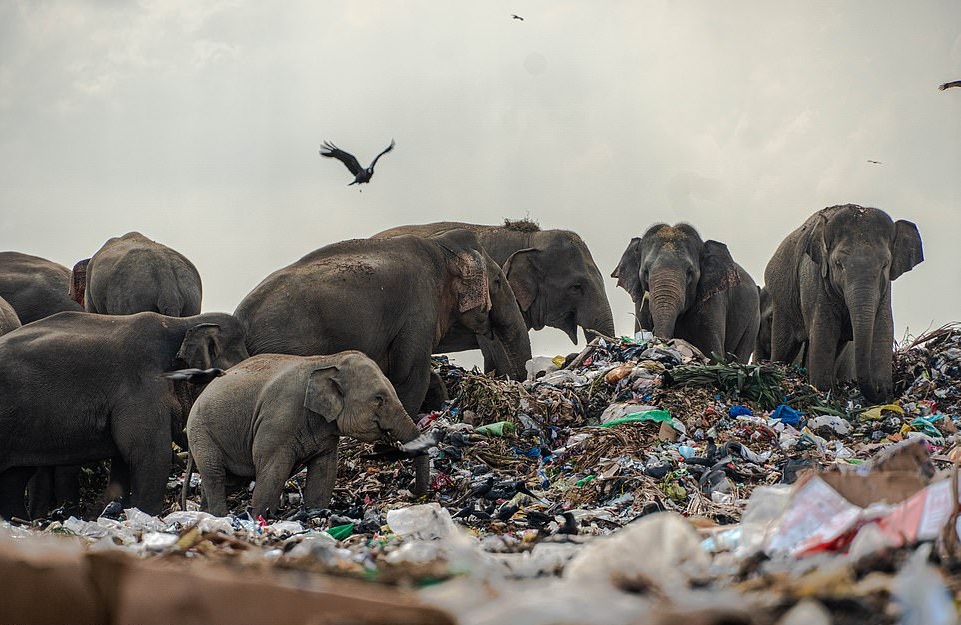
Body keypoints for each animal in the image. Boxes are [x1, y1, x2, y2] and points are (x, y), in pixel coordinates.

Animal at [0, 311, 249, 519]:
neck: (181, 323)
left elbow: (124, 463)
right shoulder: (142, 389)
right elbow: (151, 457)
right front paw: (145, 516)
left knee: (14, 479)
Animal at [186, 352, 425, 518]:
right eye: (379, 399)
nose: (412, 491)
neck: (327, 360)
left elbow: (324, 471)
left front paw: (315, 512)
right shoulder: (278, 421)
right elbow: (273, 472)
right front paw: (261, 517)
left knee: (225, 480)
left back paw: (206, 515)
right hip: (201, 433)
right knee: (215, 474)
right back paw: (219, 517)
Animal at [612, 223, 760, 363]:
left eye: (690, 272)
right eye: (646, 272)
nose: (663, 343)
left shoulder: (713, 302)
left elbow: (712, 354)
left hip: (753, 322)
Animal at [764, 204, 923, 402]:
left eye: (885, 265)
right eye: (838, 264)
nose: (880, 390)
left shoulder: (885, 290)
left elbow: (883, 329)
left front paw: (885, 395)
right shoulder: (815, 282)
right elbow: (823, 331)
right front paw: (823, 392)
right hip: (782, 301)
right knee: (784, 346)